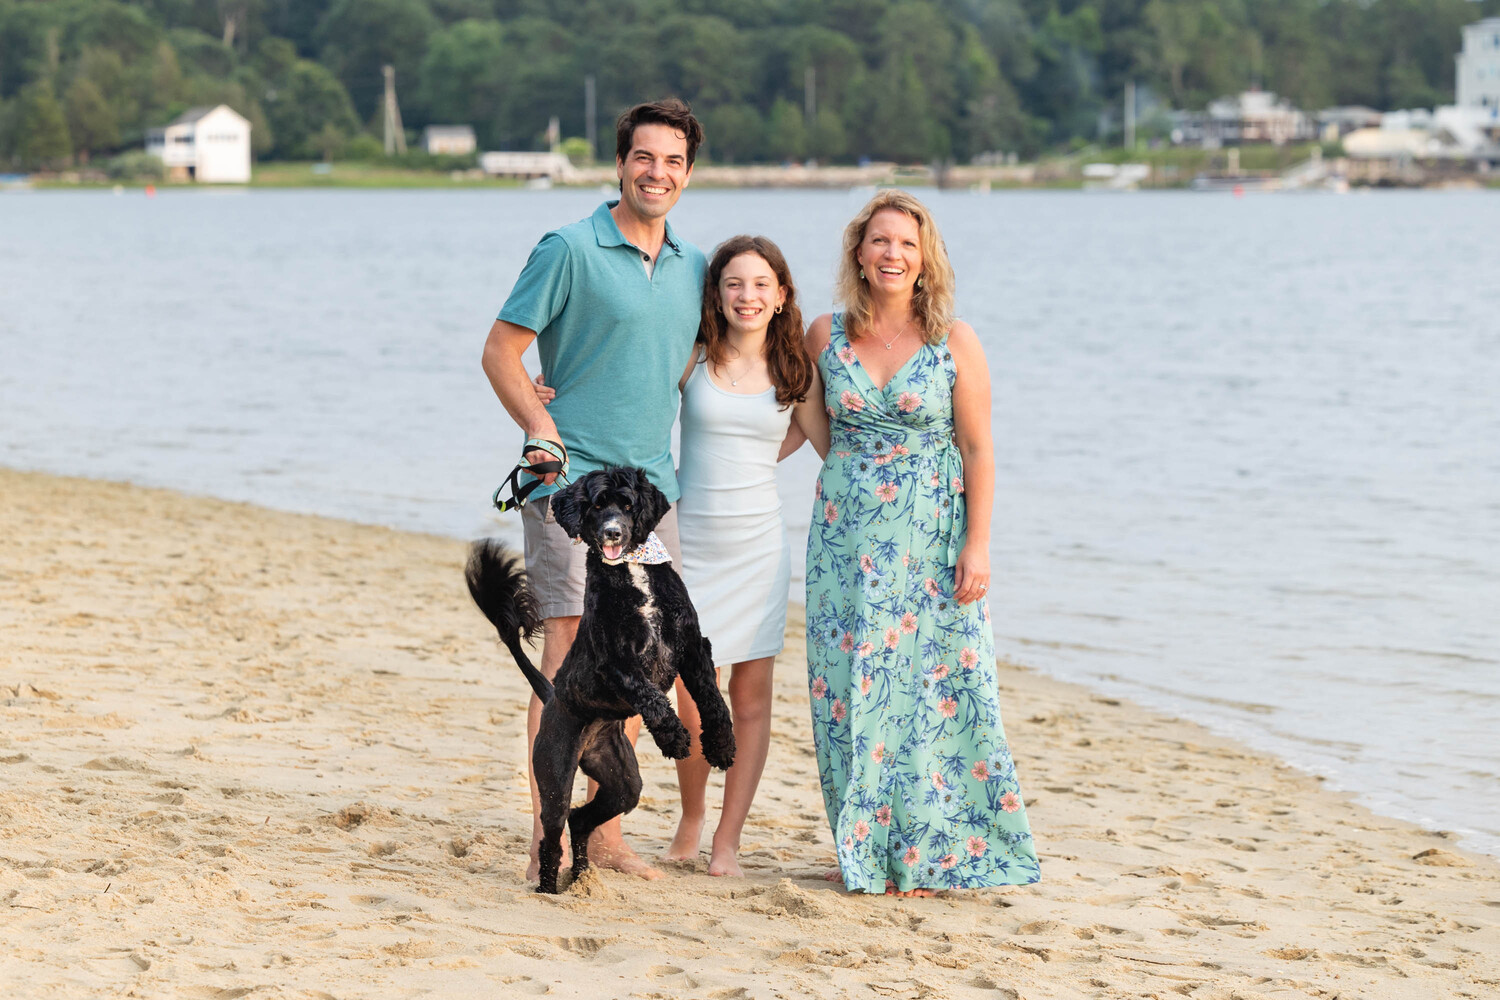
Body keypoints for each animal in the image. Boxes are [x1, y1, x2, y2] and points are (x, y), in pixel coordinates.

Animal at [462, 464, 732, 893]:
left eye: (628, 505)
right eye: (597, 506)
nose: (612, 533)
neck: (632, 570)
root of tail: (552, 697)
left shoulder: (692, 646)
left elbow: (712, 700)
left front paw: (722, 746)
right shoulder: (616, 661)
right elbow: (651, 697)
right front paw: (673, 736)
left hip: (623, 783)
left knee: (581, 819)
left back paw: (583, 879)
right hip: (555, 774)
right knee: (553, 834)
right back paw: (549, 888)